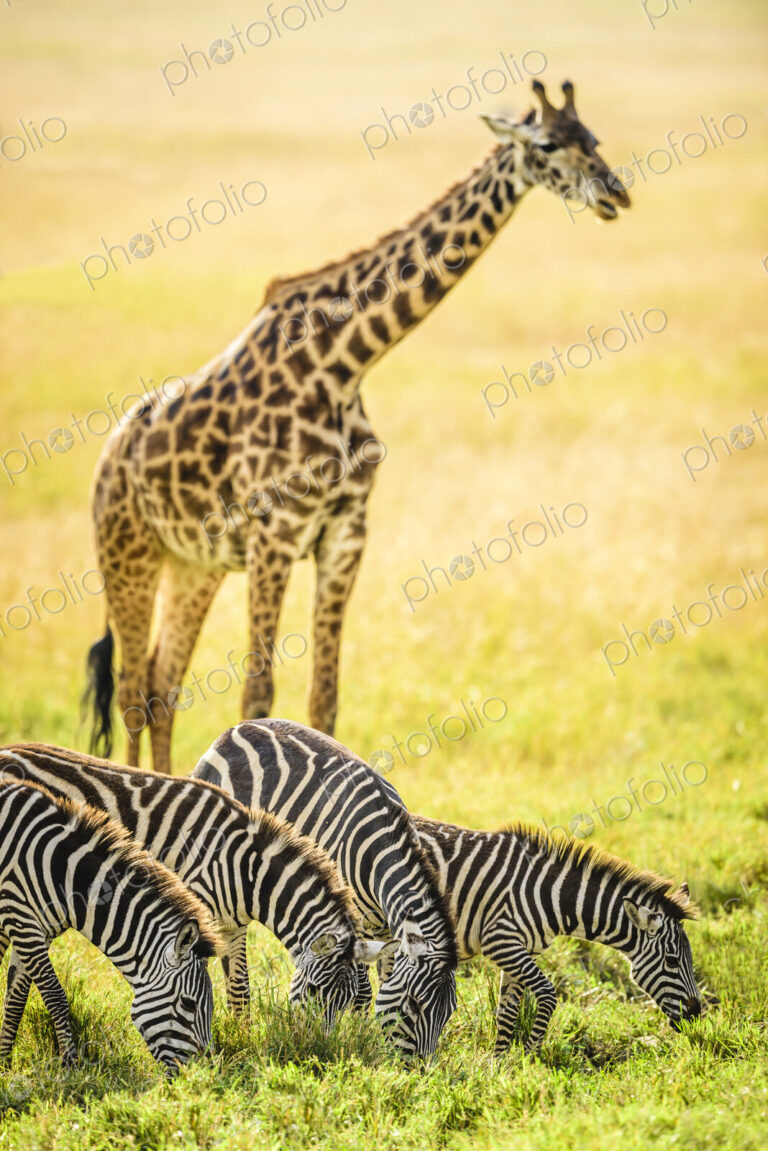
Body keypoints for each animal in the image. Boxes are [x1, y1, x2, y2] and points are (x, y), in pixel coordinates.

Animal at [0, 744, 394, 1028]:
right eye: (313, 991)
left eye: (346, 1003)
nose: (317, 1044)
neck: (243, 867)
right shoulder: (193, 919)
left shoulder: (231, 926)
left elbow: (240, 990)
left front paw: (243, 1042)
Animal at [0, 779, 218, 1072]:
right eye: (189, 1004)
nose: (201, 1075)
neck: (64, 873)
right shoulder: (19, 917)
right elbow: (55, 995)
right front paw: (71, 1065)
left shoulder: (34, 930)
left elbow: (15, 998)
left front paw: (4, 1064)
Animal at [83, 80, 631, 773]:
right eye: (549, 145)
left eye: (595, 138)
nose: (616, 193)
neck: (343, 362)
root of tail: (108, 456)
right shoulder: (276, 533)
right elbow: (257, 693)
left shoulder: (345, 533)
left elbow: (325, 696)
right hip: (128, 553)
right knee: (131, 689)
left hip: (193, 564)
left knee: (162, 682)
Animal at [192, 719, 459, 1060]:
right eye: (414, 1004)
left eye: (448, 1013)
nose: (419, 1068)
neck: (379, 847)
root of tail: (237, 728)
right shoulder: (356, 920)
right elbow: (363, 991)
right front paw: (360, 1035)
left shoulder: (387, 927)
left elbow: (385, 980)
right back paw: (242, 1031)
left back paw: (242, 1030)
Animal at [409, 815, 702, 1053]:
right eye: (672, 961)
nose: (696, 1014)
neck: (551, 896)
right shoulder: (500, 941)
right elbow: (548, 996)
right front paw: (528, 1055)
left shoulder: (520, 951)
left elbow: (507, 1012)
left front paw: (500, 1066)